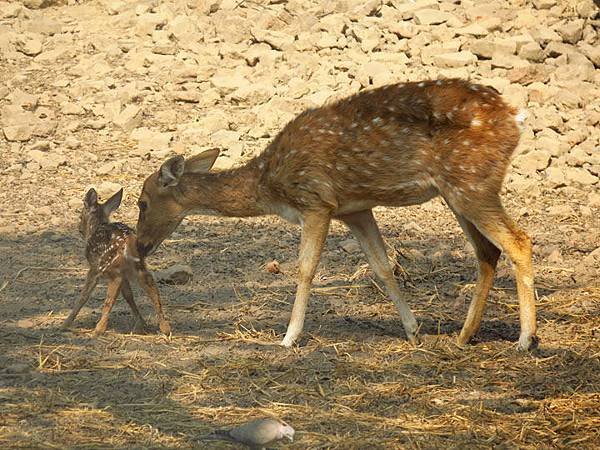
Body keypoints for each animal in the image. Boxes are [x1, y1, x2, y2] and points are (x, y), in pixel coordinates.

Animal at [137, 79, 540, 350]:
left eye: (142, 202)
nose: (140, 246)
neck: (269, 183)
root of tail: (516, 118)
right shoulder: (356, 208)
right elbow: (381, 265)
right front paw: (412, 331)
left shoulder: (316, 201)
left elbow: (305, 268)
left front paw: (288, 337)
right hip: (458, 190)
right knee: (487, 251)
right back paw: (464, 335)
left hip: (471, 182)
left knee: (519, 240)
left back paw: (525, 339)